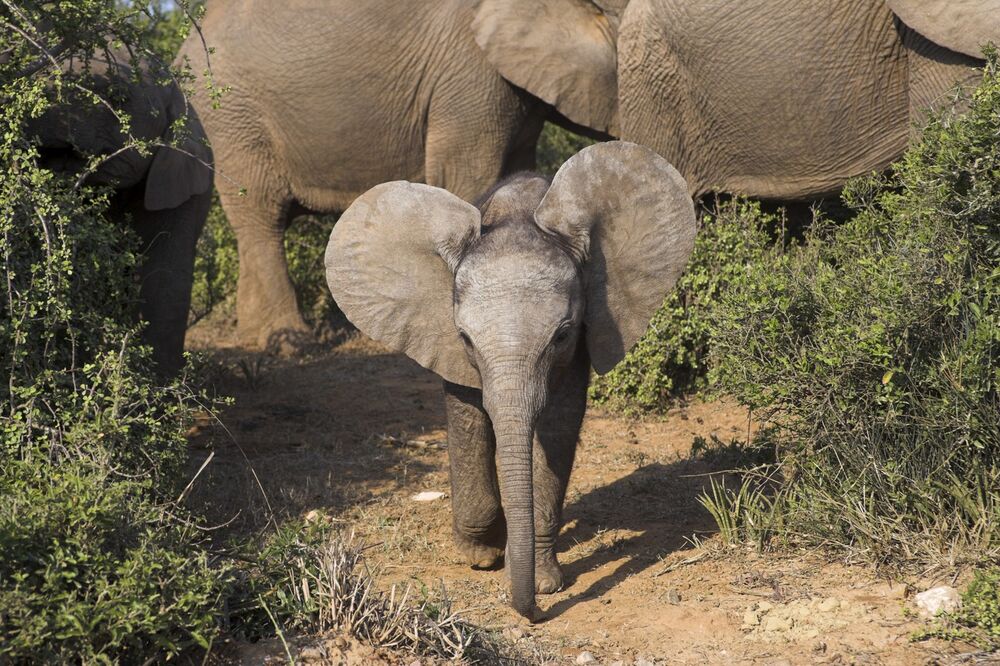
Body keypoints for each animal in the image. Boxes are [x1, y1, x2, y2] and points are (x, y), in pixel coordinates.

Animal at [328, 140, 696, 616]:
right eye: (465, 338)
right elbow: (468, 416)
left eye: (562, 334)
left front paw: (542, 583)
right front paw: (481, 556)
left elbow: (558, 425)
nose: (534, 613)